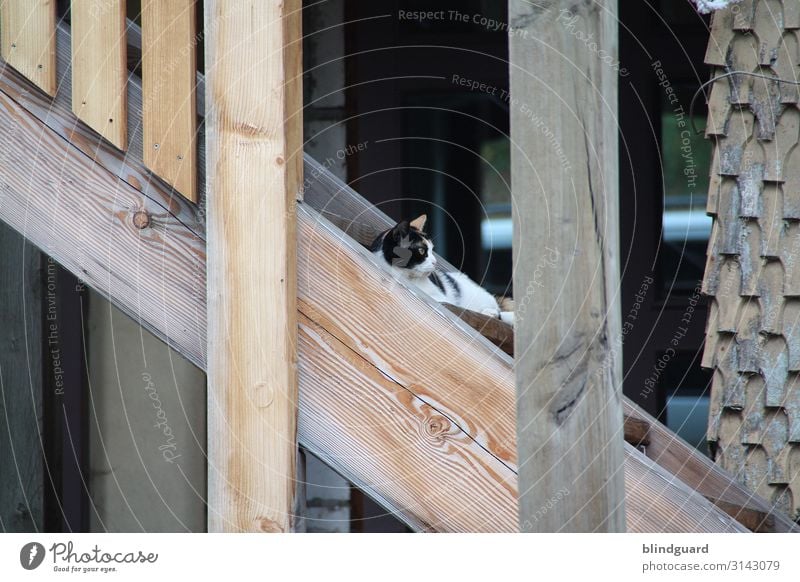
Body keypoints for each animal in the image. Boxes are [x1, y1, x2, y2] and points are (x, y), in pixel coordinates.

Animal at [370, 214, 516, 326]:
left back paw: (490, 312)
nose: (435, 262)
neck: (409, 278)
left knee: (496, 310)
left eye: (432, 249)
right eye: (421, 250)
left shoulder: (443, 298)